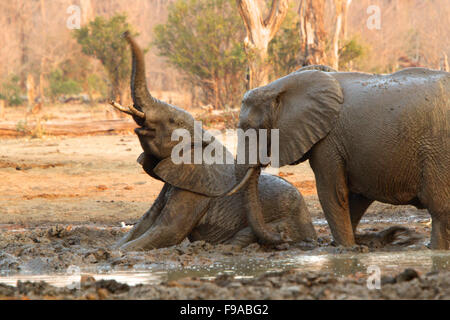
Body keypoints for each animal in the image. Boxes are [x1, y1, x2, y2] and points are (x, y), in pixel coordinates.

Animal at [111, 33, 316, 252]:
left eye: (172, 121)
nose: (125, 34)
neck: (203, 137)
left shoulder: (195, 193)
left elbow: (166, 232)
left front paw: (115, 254)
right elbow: (143, 225)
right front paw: (112, 250)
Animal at [237, 64, 448, 250]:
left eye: (250, 128)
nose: (284, 235)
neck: (281, 85)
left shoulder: (328, 141)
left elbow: (332, 193)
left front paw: (345, 249)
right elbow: (357, 197)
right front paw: (351, 246)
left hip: (438, 151)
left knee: (440, 211)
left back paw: (435, 249)